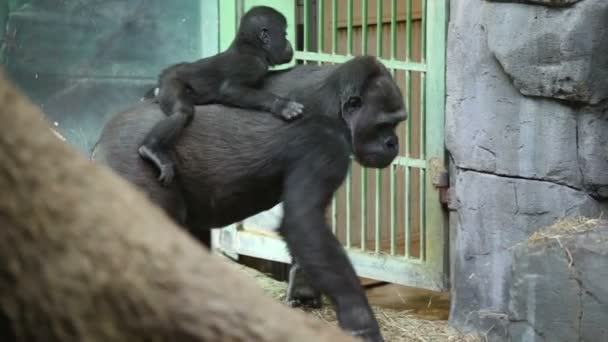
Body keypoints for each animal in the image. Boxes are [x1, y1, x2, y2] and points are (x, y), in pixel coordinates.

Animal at [94, 54, 408, 340]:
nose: (393, 144)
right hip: (130, 160)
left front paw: (303, 289)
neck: (335, 101)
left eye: (398, 123)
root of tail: (100, 142)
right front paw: (361, 321)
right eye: (383, 125)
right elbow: (304, 222)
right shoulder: (325, 142)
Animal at [137, 5, 300, 186]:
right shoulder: (253, 65)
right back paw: (151, 148)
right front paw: (281, 105)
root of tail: (162, 77)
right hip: (171, 81)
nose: (289, 43)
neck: (252, 47)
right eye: (284, 34)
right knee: (182, 111)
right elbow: (229, 90)